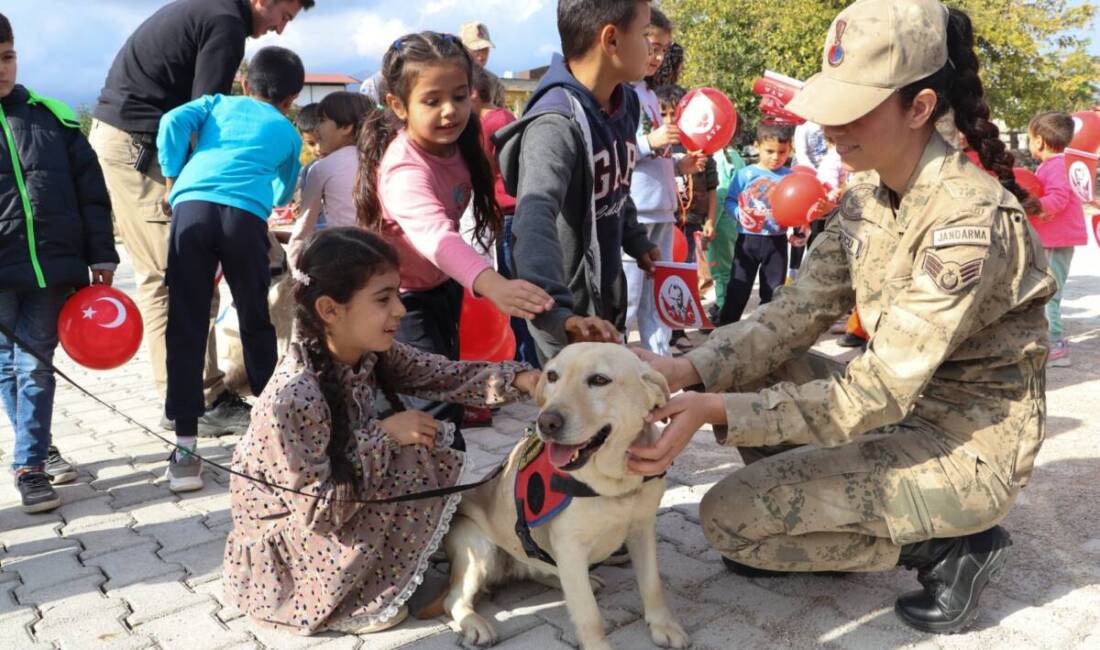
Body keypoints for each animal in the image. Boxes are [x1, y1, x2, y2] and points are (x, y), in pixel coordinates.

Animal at [437, 343, 686, 650]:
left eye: (599, 380)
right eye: (552, 376)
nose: (547, 422)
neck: (611, 484)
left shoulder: (642, 528)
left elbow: (652, 584)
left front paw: (663, 625)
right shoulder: (571, 547)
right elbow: (589, 614)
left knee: (544, 570)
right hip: (478, 548)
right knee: (453, 599)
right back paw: (475, 624)